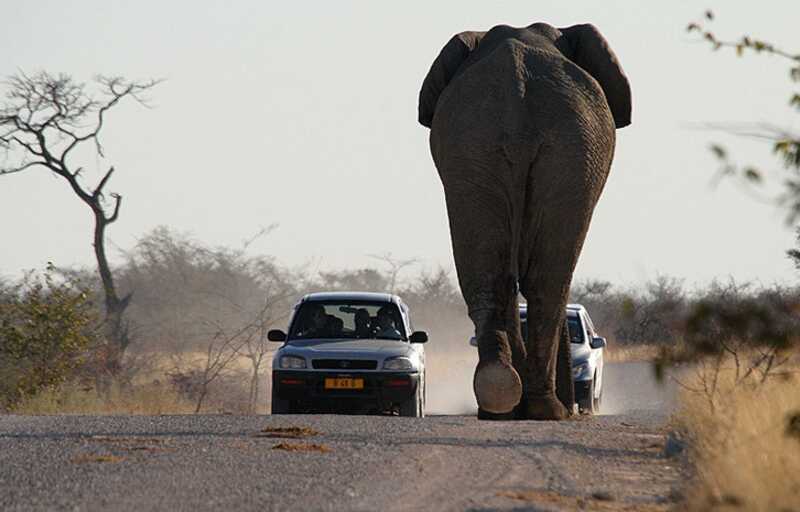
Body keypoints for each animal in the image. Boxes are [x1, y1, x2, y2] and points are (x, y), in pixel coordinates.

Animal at [418, 22, 632, 420]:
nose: (579, 407)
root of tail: (516, 104)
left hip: (475, 147)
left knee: (493, 274)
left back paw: (500, 397)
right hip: (570, 150)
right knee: (548, 281)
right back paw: (549, 410)